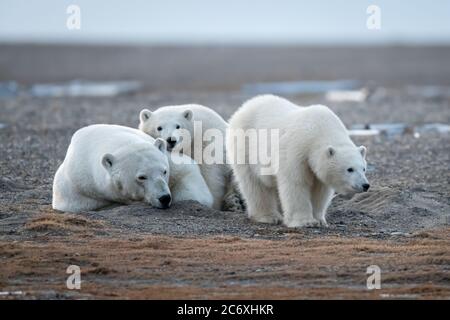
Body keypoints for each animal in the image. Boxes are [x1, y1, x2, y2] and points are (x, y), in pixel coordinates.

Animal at [51, 124, 214, 212]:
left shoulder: (169, 160)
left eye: (164, 171)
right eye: (141, 177)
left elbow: (187, 173)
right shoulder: (77, 187)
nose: (164, 198)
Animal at [227, 94, 370, 228]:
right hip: (244, 143)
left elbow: (320, 190)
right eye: (350, 169)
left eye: (364, 169)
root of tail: (244, 107)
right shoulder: (297, 149)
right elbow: (296, 183)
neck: (320, 131)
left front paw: (319, 220)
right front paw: (305, 221)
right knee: (254, 184)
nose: (365, 185)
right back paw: (268, 216)